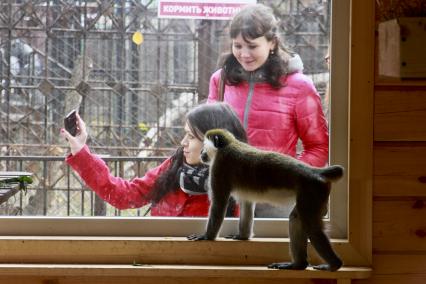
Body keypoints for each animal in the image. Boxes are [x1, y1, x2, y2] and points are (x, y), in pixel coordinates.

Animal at [188, 128, 344, 270]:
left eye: (204, 146)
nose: (201, 152)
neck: (227, 145)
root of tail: (315, 172)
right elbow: (246, 203)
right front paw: (242, 236)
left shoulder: (220, 166)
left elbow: (219, 203)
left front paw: (206, 236)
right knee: (296, 218)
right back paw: (299, 265)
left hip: (312, 191)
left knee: (311, 227)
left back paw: (334, 264)